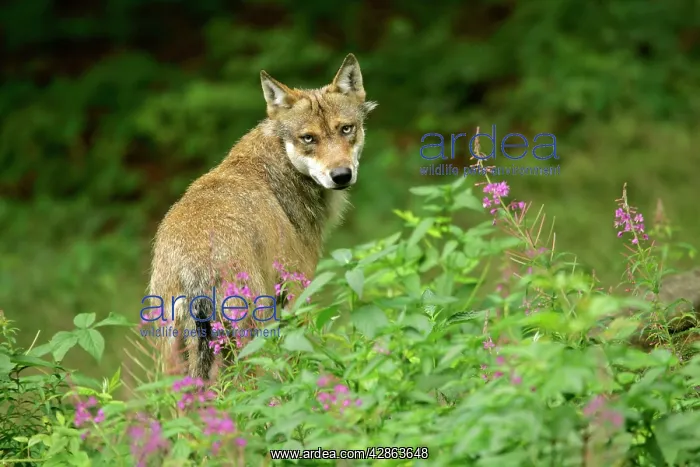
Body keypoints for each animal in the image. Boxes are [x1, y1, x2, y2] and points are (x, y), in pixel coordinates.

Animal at [148, 54, 376, 380]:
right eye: (308, 138)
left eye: (346, 129)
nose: (341, 175)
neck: (281, 165)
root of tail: (193, 267)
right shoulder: (297, 289)